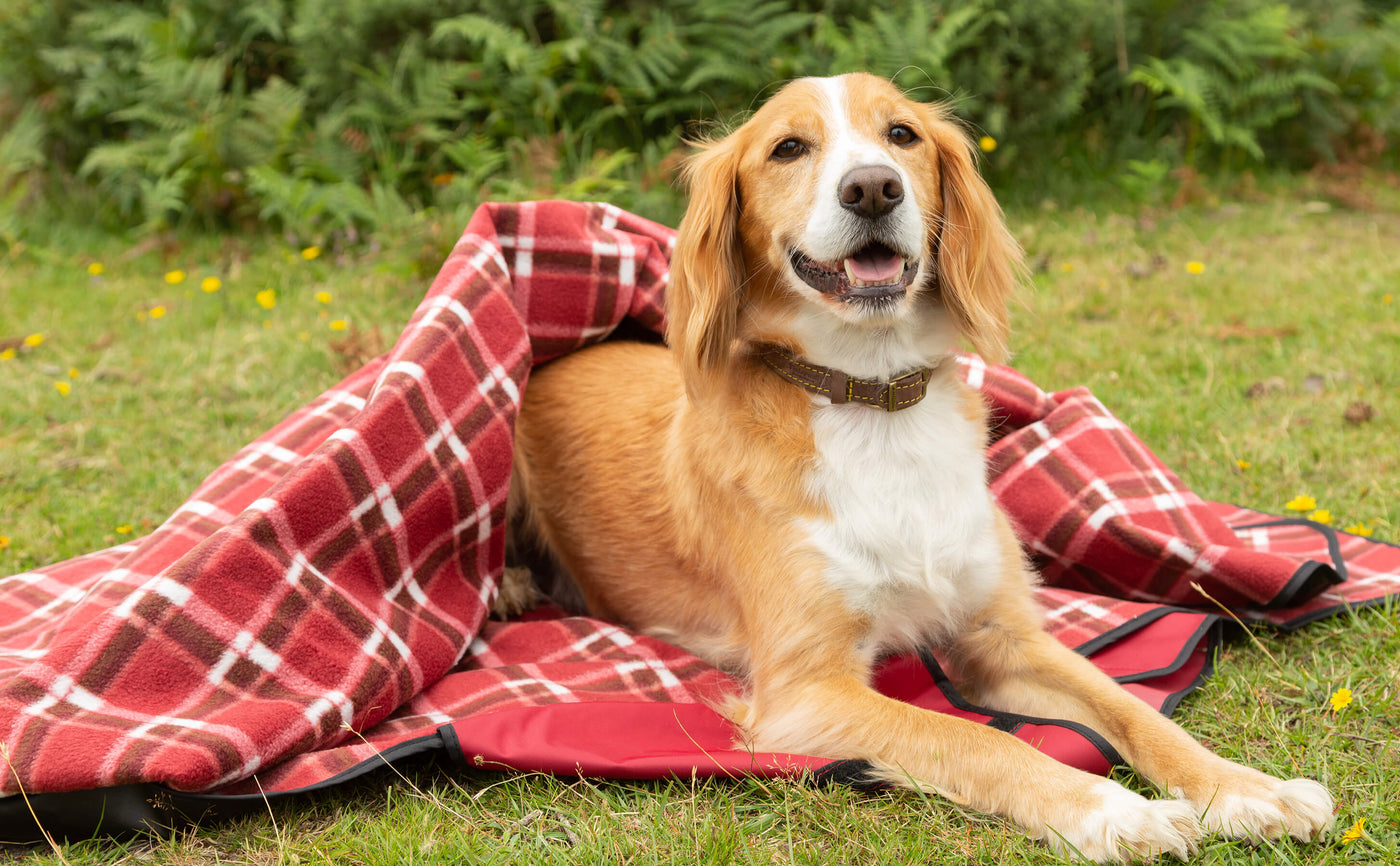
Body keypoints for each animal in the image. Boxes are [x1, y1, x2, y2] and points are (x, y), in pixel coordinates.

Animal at [504, 72, 1332, 861]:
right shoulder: (806, 692)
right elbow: (975, 735)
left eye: (901, 134)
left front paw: (1243, 787)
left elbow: (1131, 710)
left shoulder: (1004, 634)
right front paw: (1110, 809)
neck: (876, 404)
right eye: (788, 148)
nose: (873, 187)